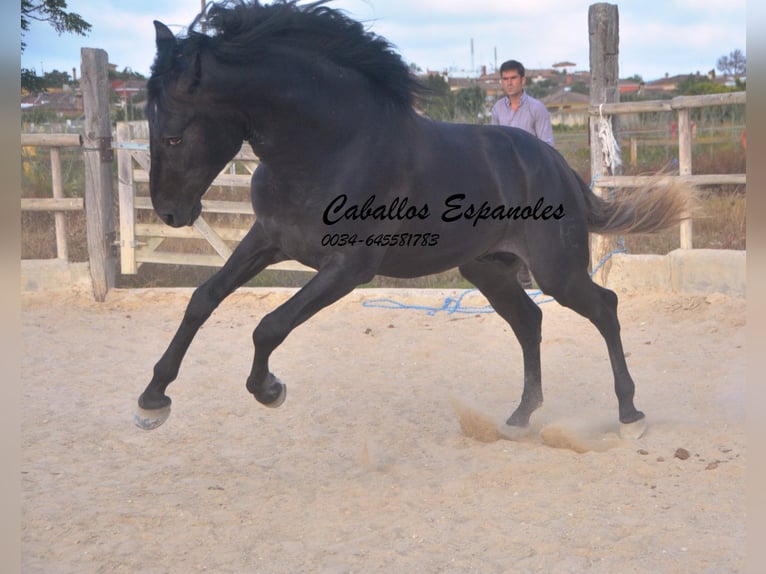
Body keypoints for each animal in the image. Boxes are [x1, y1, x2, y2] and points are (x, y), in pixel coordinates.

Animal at [135, 1, 692, 440]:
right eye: (149, 122)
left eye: (174, 135)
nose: (170, 212)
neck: (328, 147)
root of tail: (558, 166)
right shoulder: (268, 240)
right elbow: (202, 299)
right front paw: (152, 399)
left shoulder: (349, 268)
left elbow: (269, 326)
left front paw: (269, 389)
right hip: (488, 269)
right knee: (529, 321)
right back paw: (519, 417)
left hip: (557, 271)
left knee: (604, 308)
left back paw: (630, 415)